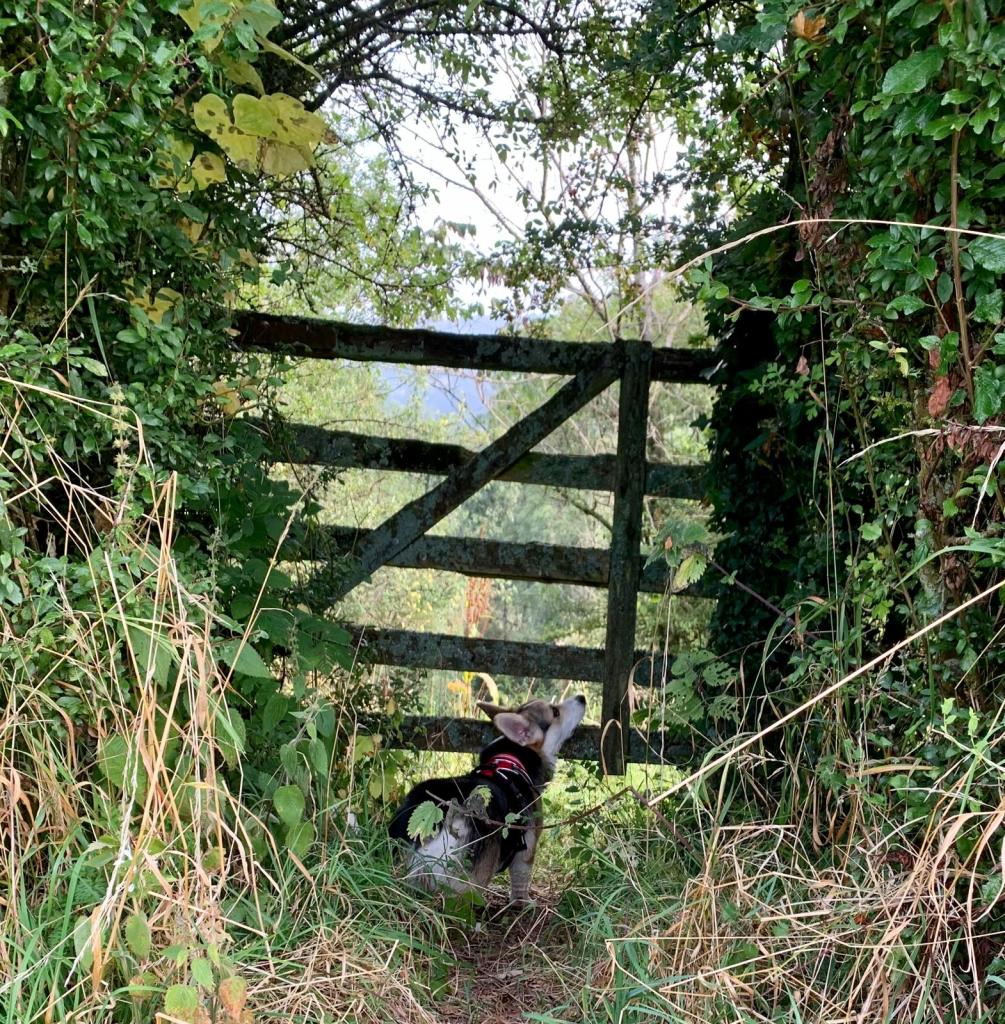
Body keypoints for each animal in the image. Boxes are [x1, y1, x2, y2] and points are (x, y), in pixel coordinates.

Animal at [388, 694, 587, 903]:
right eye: (555, 711)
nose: (581, 697)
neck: (511, 758)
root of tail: (436, 818)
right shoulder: (527, 849)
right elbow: (521, 880)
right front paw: (523, 902)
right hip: (471, 881)